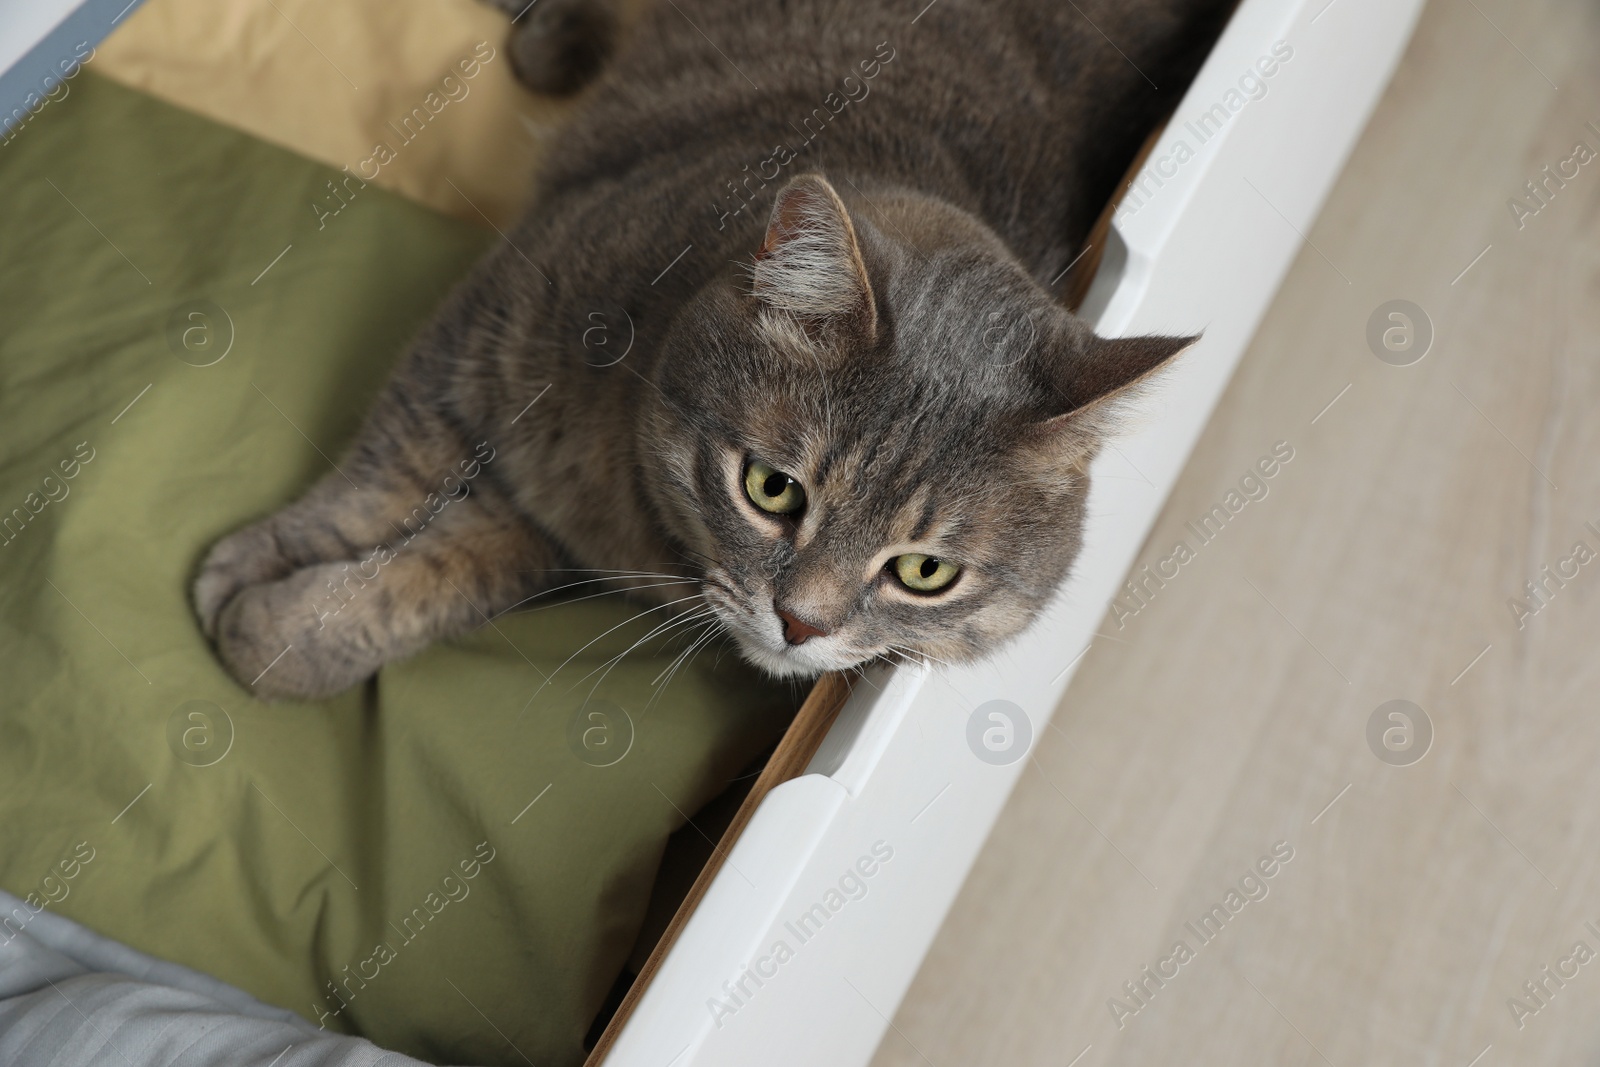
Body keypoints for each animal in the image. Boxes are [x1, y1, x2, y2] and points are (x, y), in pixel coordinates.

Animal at [196, 0, 1222, 700]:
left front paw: (284, 632)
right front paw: (258, 567)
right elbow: (378, 485)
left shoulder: (541, 536)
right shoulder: (479, 335)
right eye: (773, 489)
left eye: (924, 573)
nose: (802, 622)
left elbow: (431, 581)